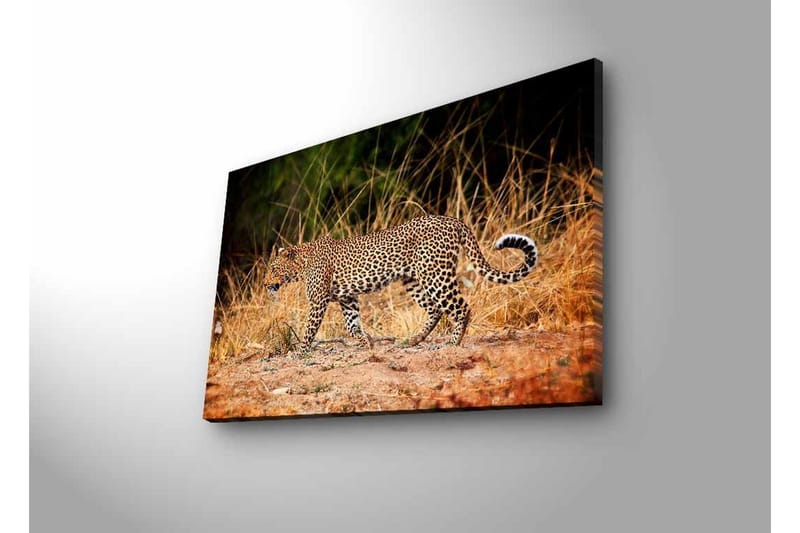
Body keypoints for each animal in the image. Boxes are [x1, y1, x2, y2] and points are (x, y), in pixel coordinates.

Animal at [264, 215, 538, 351]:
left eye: (273, 269)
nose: (266, 284)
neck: (302, 263)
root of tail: (453, 220)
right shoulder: (347, 298)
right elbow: (352, 326)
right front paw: (366, 343)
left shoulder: (319, 301)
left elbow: (309, 330)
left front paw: (300, 353)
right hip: (413, 280)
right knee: (435, 309)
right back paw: (413, 340)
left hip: (435, 275)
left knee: (461, 308)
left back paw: (452, 343)